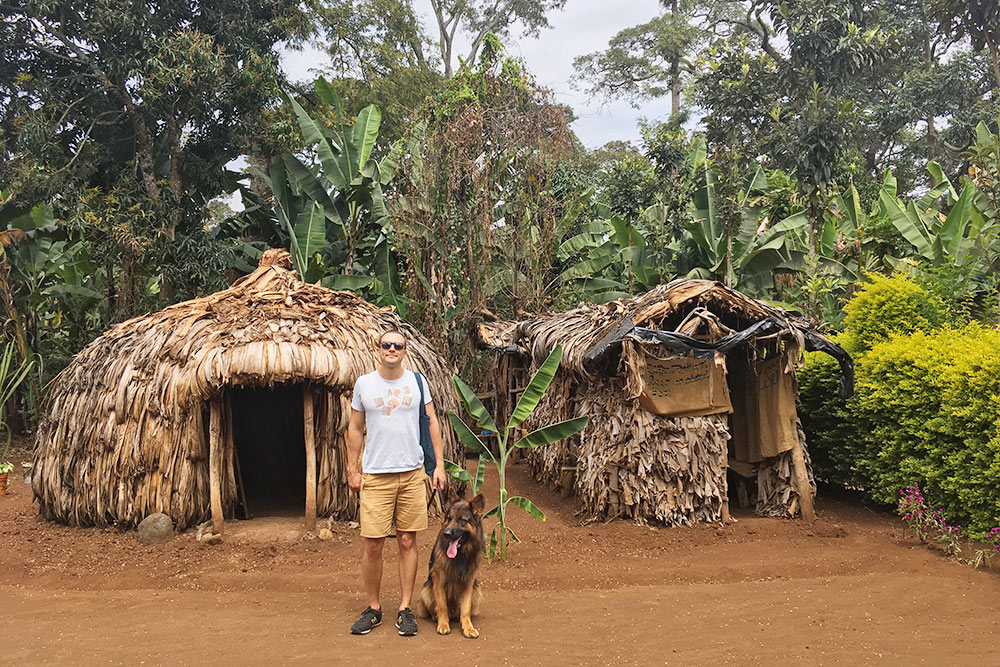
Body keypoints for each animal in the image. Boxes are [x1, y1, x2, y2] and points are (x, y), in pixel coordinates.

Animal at [416, 488, 486, 640]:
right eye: (449, 518)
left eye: (462, 520)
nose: (447, 533)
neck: (459, 555)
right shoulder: (438, 578)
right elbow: (442, 605)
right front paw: (443, 624)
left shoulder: (469, 580)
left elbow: (465, 608)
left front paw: (468, 627)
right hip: (426, 589)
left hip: (477, 589)